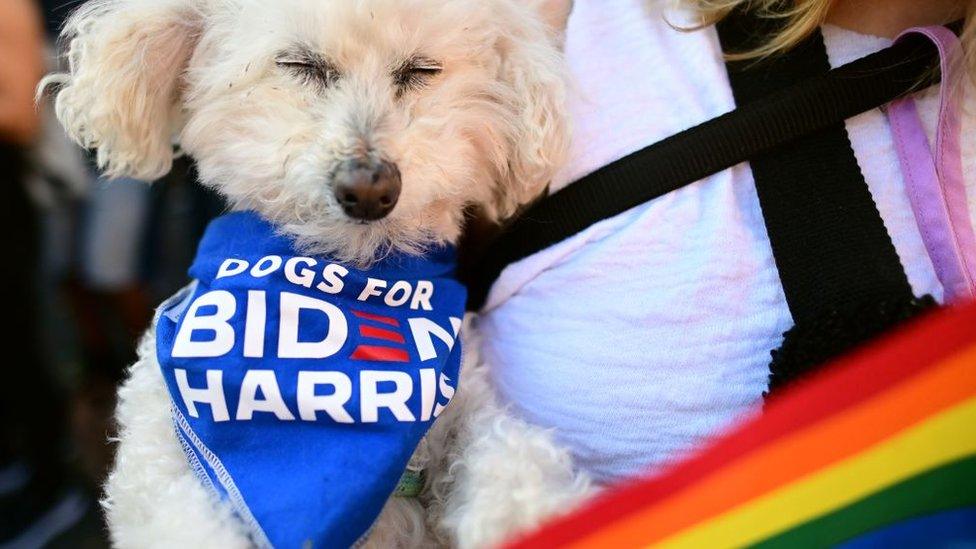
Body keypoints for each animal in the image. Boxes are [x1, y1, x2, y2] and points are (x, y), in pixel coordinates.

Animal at [42, 0, 592, 544]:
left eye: (421, 71)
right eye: (299, 64)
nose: (369, 189)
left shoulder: (468, 405)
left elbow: (506, 454)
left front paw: (531, 513)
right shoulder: (157, 465)